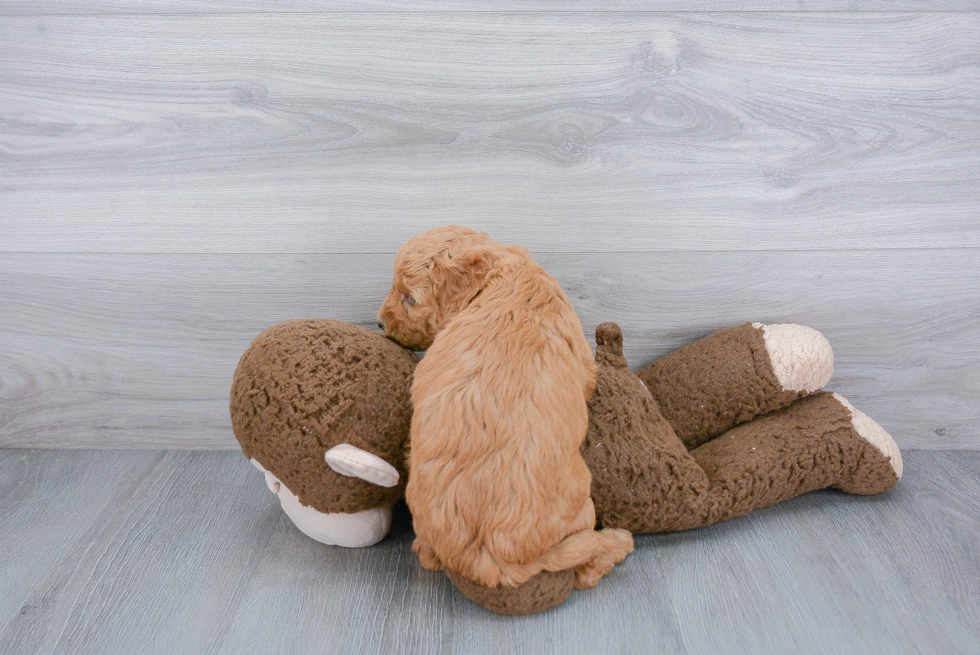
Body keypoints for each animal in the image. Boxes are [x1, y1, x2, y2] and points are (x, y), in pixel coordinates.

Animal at [378, 226, 632, 588]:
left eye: (409, 298)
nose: (379, 323)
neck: (502, 270)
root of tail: (487, 557)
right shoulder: (584, 364)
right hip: (582, 504)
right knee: (584, 565)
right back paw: (618, 541)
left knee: (425, 554)